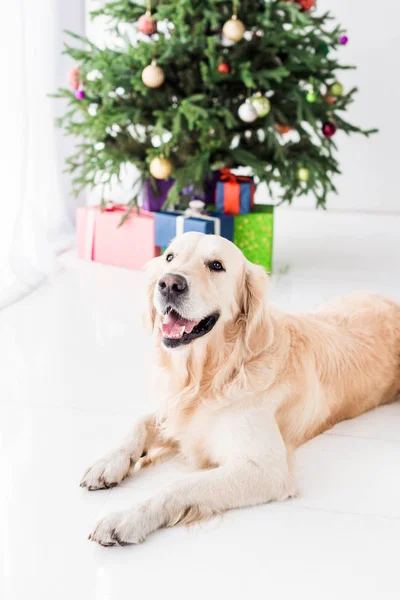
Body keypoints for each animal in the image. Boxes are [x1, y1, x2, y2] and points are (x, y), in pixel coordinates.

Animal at [82, 232, 400, 548]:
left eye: (216, 265)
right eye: (170, 257)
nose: (170, 283)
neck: (211, 375)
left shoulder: (266, 469)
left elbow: (179, 484)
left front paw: (127, 517)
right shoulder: (177, 415)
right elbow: (141, 423)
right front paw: (107, 463)